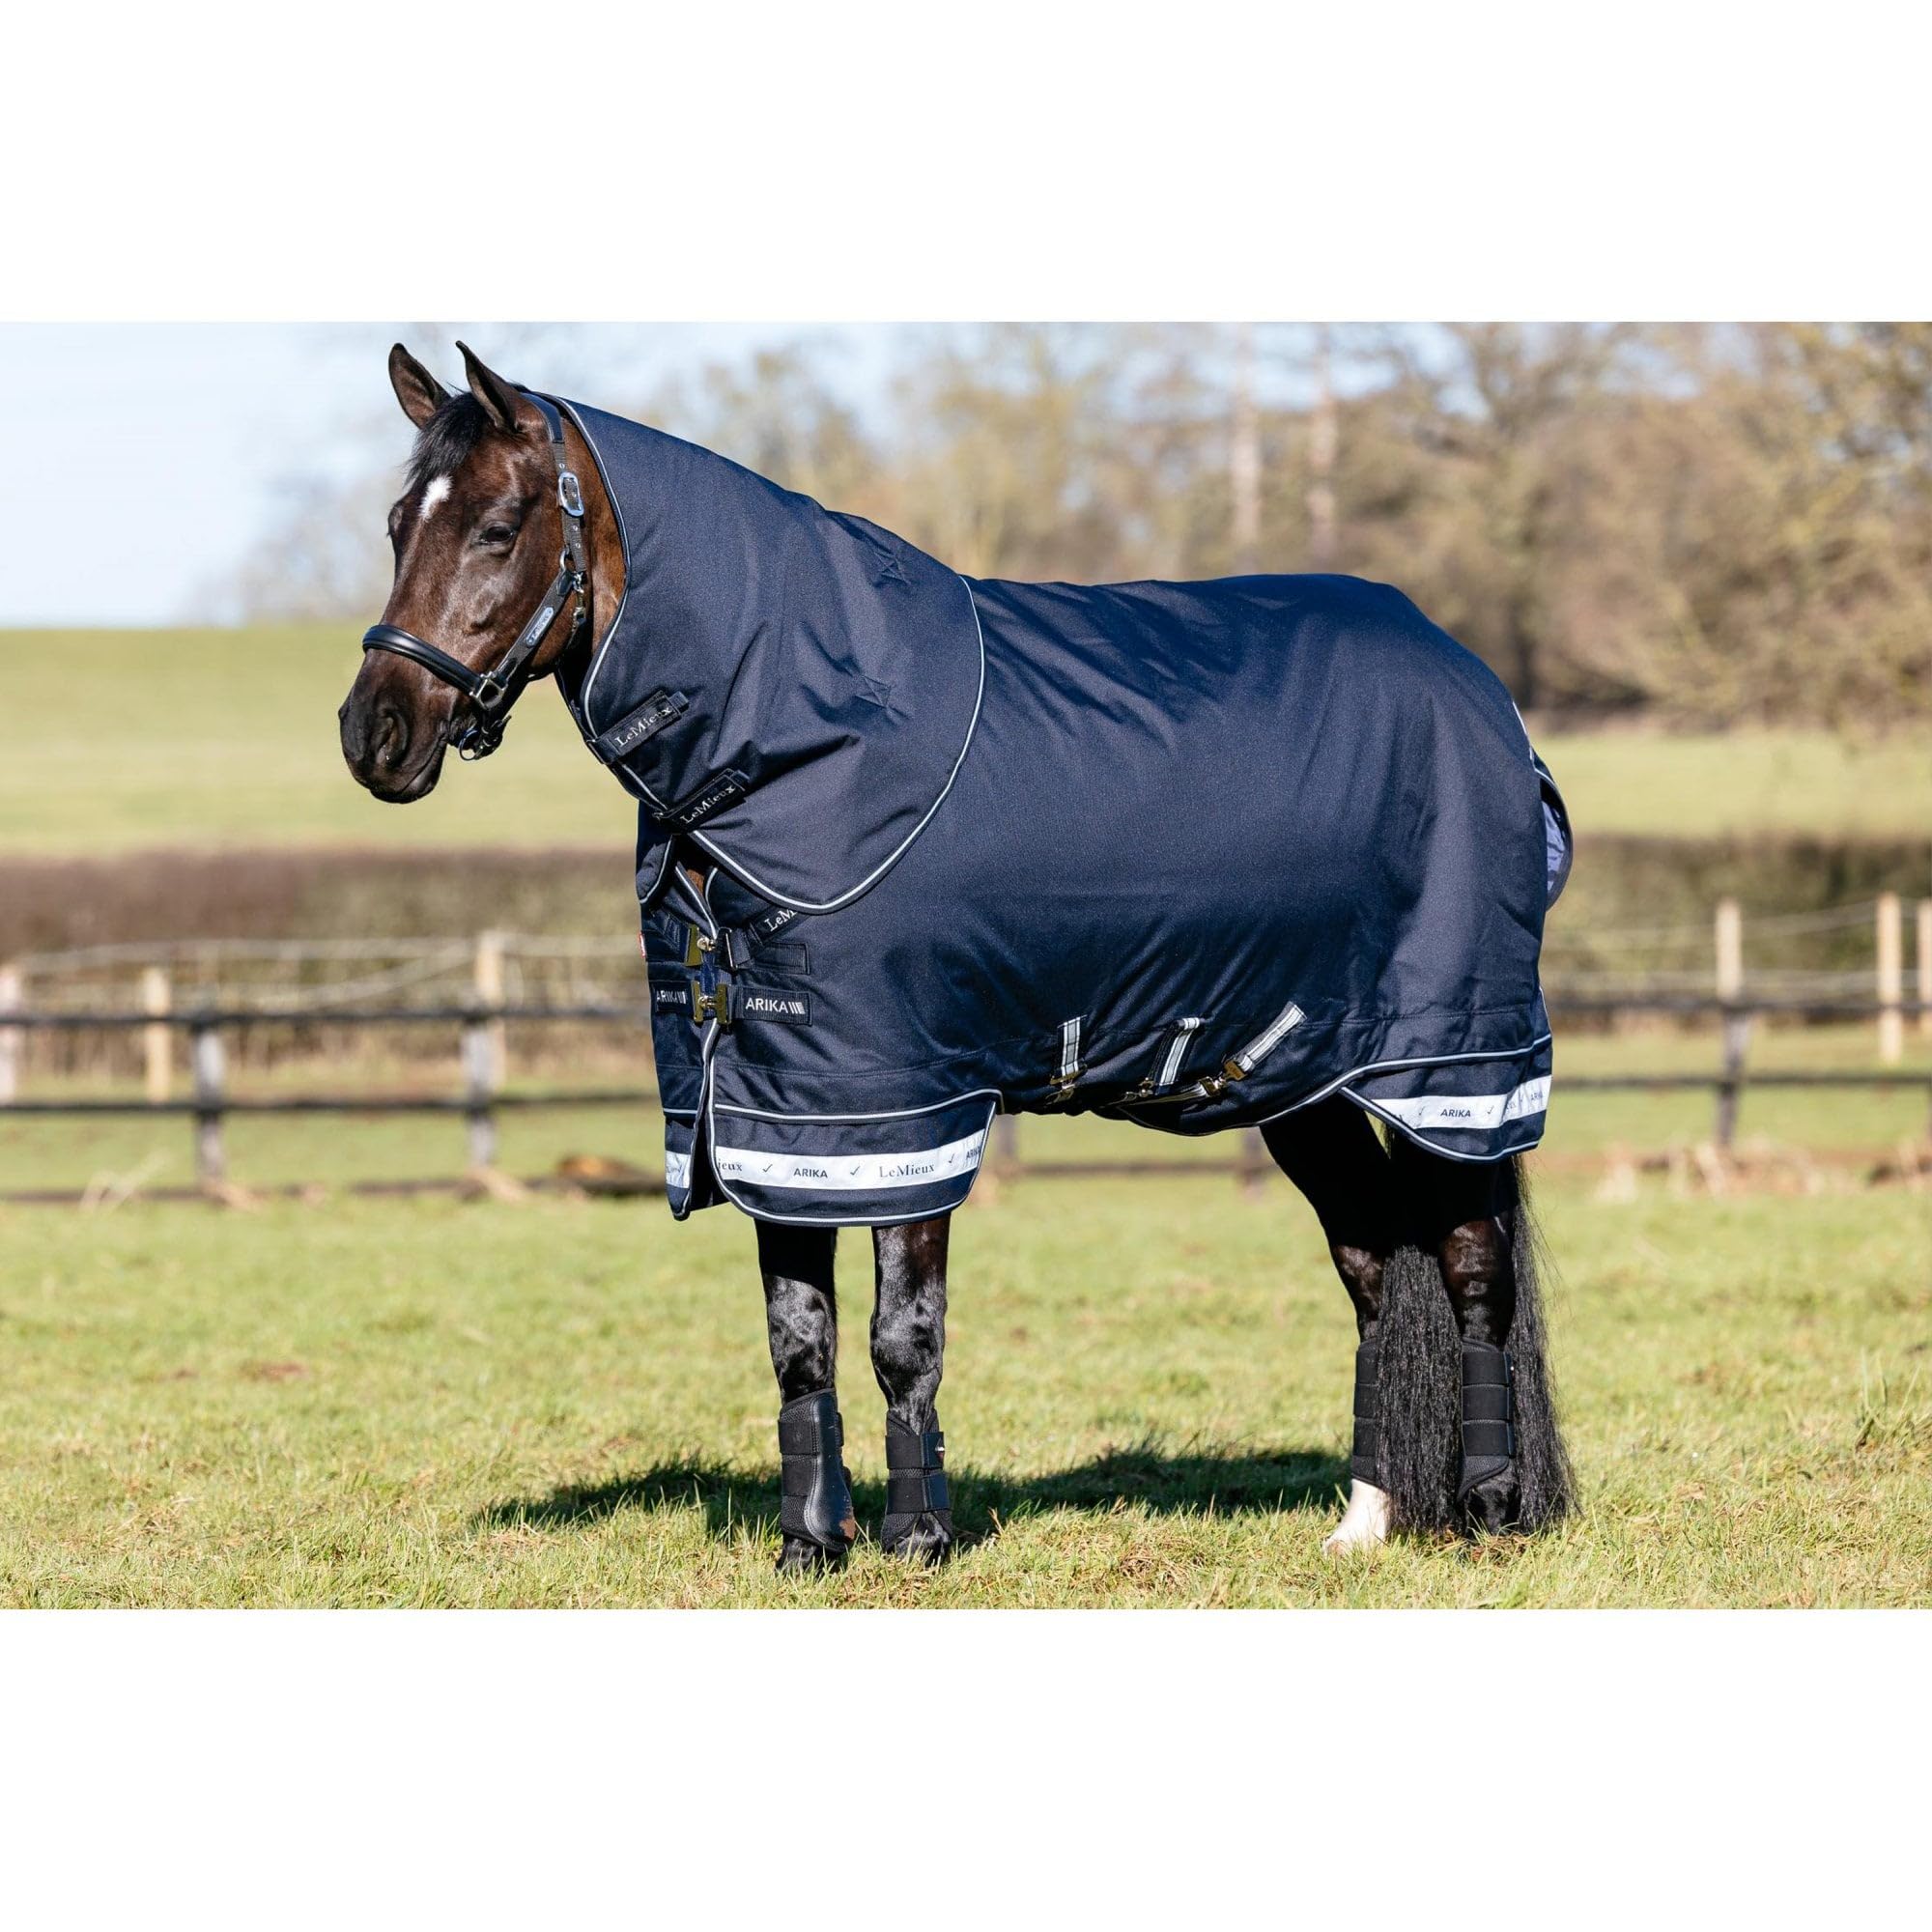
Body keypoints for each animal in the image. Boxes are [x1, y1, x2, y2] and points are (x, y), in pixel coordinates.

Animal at [339, 341, 1574, 1571]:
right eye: (398, 523)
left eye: (498, 525)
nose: (373, 734)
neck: (807, 736)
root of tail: (1476, 686)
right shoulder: (775, 1110)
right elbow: (798, 1335)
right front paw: (807, 1544)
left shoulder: (904, 1104)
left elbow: (902, 1332)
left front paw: (918, 1535)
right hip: (1301, 1079)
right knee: (1371, 1266)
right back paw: (1364, 1520)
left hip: (1453, 1067)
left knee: (1470, 1264)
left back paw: (1489, 1507)